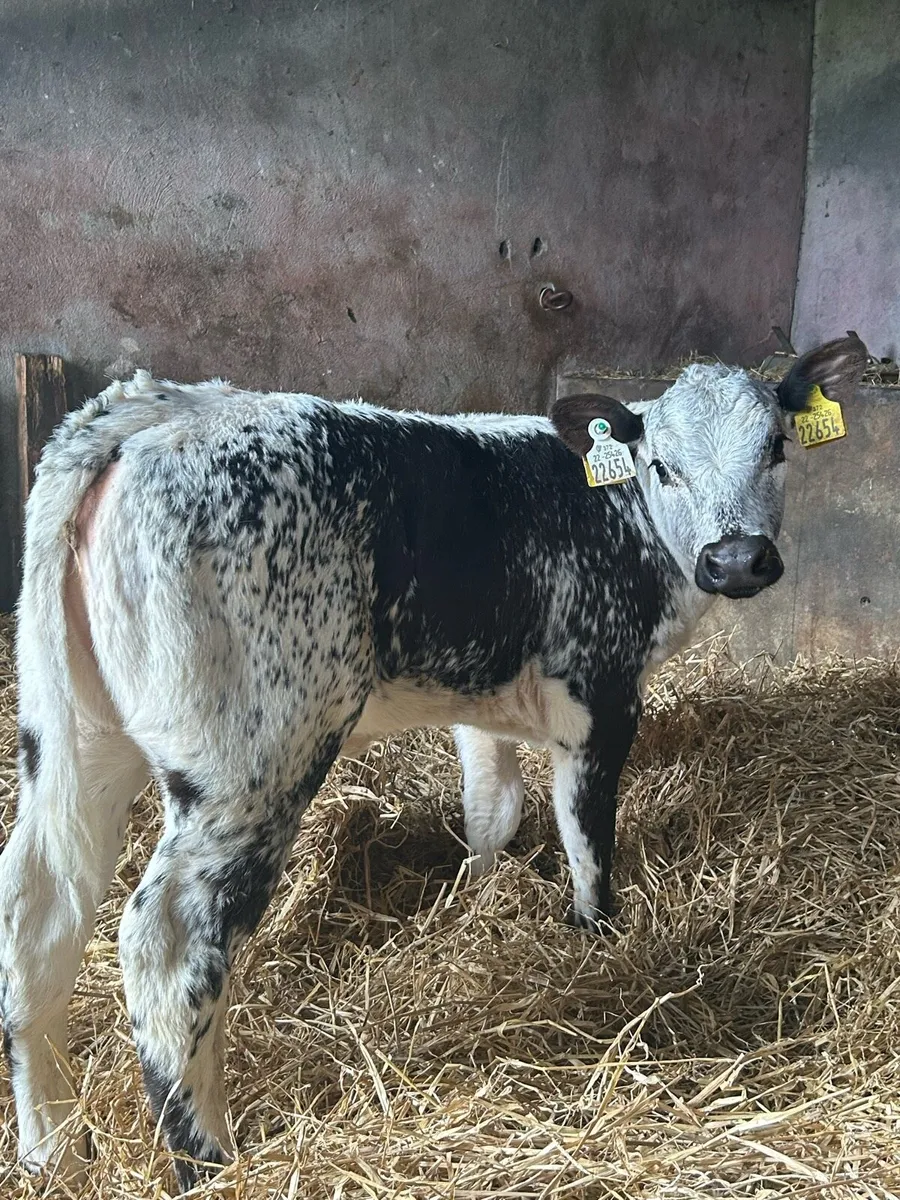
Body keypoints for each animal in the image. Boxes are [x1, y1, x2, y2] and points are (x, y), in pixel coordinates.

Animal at [0, 335, 867, 1189]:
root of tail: (157, 408)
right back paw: (207, 1158)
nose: (737, 559)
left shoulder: (482, 701)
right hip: (250, 760)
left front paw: (477, 903)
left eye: (777, 445)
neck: (613, 513)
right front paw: (598, 937)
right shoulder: (599, 689)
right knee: (167, 937)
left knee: (38, 907)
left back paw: (52, 1151)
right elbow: (586, 836)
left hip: (74, 736)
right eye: (663, 465)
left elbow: (493, 808)